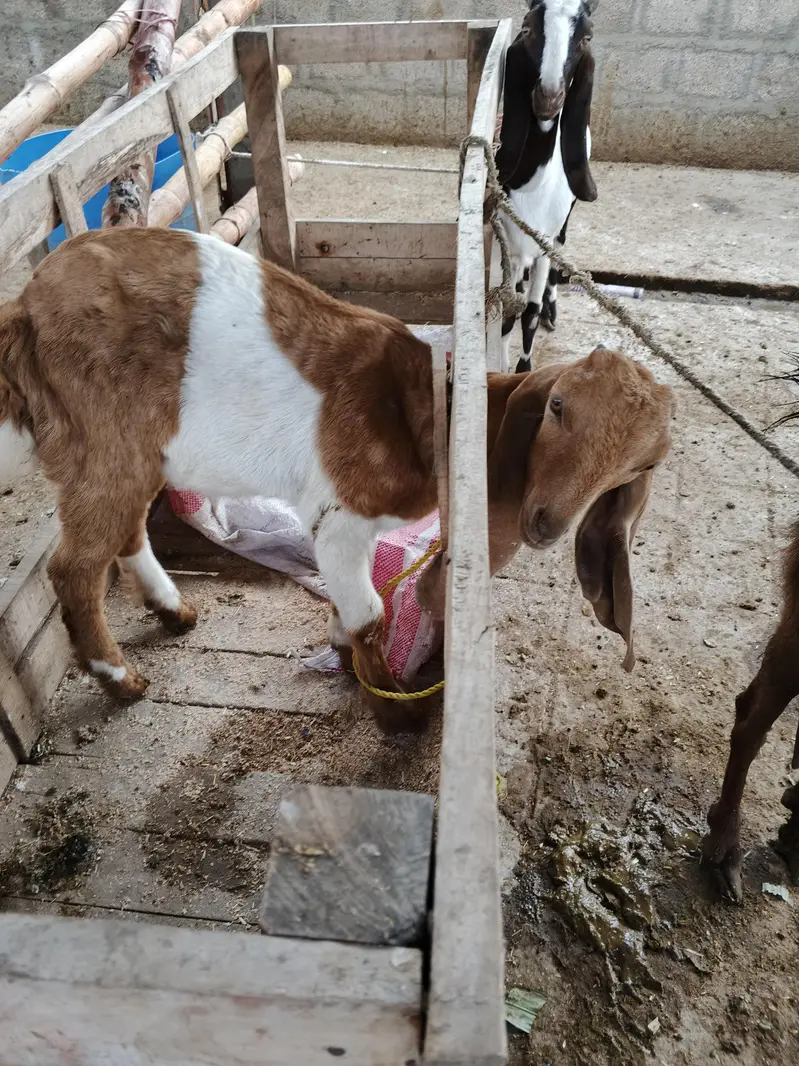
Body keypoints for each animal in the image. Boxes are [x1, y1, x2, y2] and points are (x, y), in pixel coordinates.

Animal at [0, 228, 672, 733]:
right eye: (557, 407)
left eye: (640, 465)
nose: (544, 525)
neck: (428, 412)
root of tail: (24, 309)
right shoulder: (340, 517)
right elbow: (370, 613)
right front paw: (393, 710)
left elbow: (357, 608)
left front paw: (348, 658)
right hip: (104, 438)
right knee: (75, 567)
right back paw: (124, 681)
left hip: (136, 452)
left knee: (128, 530)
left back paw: (173, 611)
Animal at [495, 0, 598, 374]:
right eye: (527, 29)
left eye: (586, 37)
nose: (549, 99)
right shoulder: (504, 241)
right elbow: (507, 314)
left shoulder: (542, 241)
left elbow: (529, 313)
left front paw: (522, 370)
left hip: (564, 219)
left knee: (559, 251)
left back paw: (552, 306)